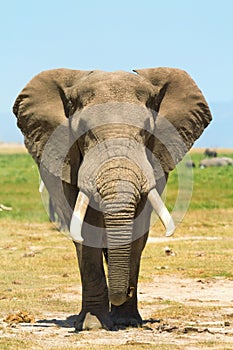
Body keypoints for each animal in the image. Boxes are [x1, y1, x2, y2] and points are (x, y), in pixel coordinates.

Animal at [13, 67, 213, 330]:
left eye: (147, 131)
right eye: (83, 131)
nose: (125, 290)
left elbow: (138, 227)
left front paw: (126, 320)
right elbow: (86, 229)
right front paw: (93, 325)